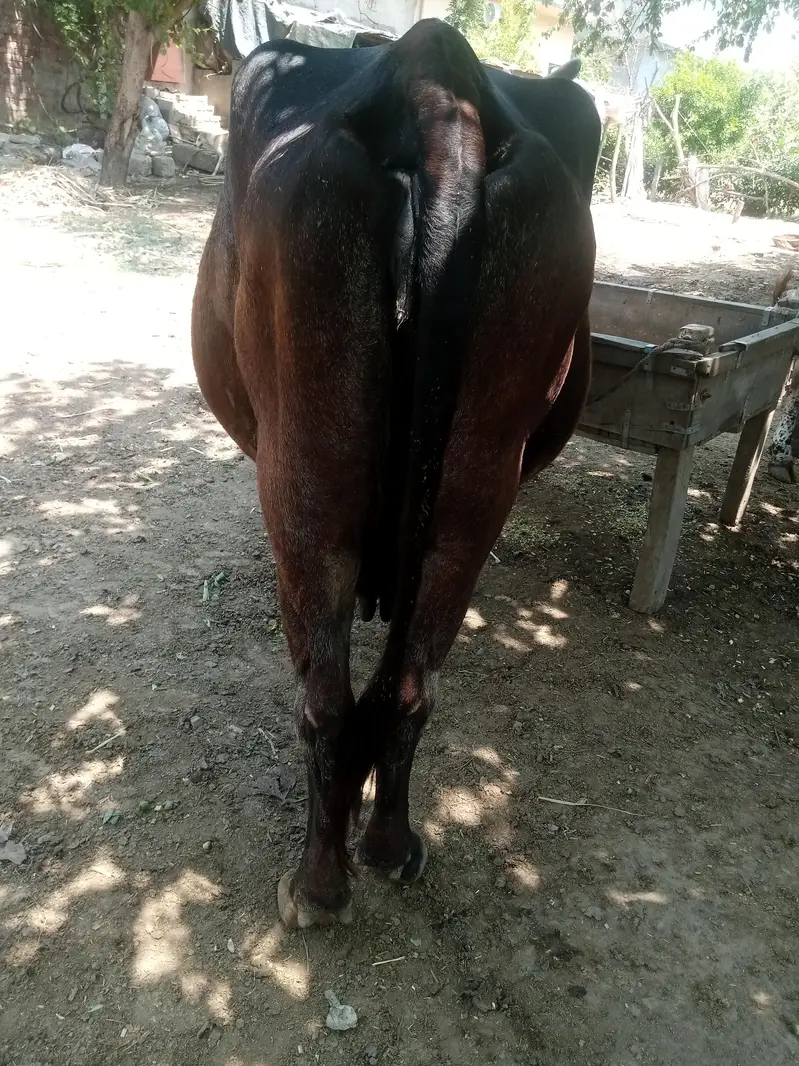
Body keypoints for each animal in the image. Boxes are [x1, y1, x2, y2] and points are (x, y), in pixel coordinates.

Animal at [191, 19, 601, 929]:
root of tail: (430, 79)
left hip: (305, 495)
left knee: (325, 700)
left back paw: (317, 886)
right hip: (470, 501)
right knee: (408, 686)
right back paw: (385, 846)